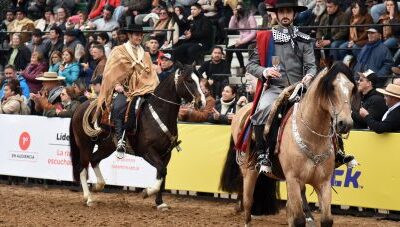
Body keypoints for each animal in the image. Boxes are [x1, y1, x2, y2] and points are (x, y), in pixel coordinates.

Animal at [69, 63, 205, 207]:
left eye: (199, 79)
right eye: (189, 80)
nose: (202, 102)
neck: (157, 112)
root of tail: (79, 107)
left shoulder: (166, 154)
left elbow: (162, 174)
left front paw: (160, 203)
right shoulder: (147, 151)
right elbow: (161, 171)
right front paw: (147, 192)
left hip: (106, 147)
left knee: (94, 159)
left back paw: (98, 186)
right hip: (85, 145)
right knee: (82, 168)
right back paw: (88, 197)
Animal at [222, 62, 356, 227]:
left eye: (352, 88)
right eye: (331, 87)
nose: (346, 123)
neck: (312, 137)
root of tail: (243, 110)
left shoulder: (323, 182)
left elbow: (326, 220)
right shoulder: (293, 179)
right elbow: (298, 220)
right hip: (249, 171)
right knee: (248, 203)